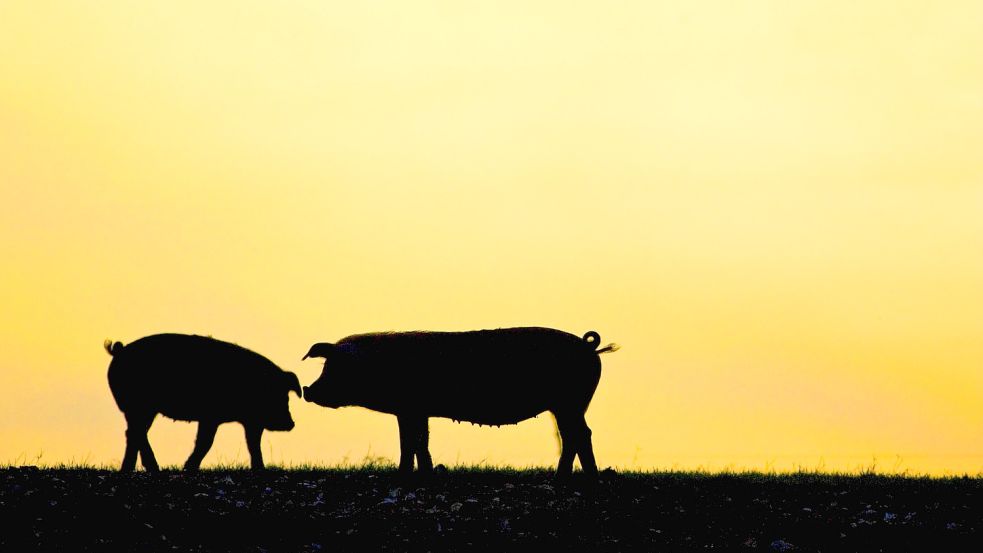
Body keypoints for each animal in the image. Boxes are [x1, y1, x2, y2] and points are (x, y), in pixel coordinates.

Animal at [105, 333, 302, 472]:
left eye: (286, 396)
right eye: (279, 395)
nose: (291, 423)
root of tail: (119, 351)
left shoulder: (250, 421)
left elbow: (253, 444)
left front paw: (260, 469)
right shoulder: (211, 417)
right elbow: (205, 442)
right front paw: (188, 468)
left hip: (140, 410)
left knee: (133, 434)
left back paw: (129, 470)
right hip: (140, 407)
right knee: (136, 433)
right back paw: (153, 469)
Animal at [302, 327, 618, 477]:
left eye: (336, 367)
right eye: (326, 366)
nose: (308, 390)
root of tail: (588, 345)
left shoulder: (411, 409)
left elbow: (413, 442)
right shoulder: (413, 411)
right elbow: (416, 442)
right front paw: (417, 473)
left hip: (570, 402)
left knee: (579, 435)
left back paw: (567, 477)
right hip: (567, 405)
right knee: (575, 435)